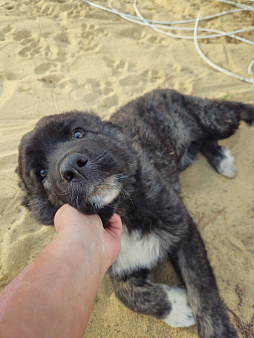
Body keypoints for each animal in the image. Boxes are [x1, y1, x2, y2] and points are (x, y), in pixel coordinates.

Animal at [16, 88, 253, 336]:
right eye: (41, 173)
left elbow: (202, 287)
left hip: (216, 121)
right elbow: (128, 295)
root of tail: (160, 90)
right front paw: (177, 307)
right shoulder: (114, 262)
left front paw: (217, 330)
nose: (73, 166)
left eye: (78, 133)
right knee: (204, 141)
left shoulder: (184, 231)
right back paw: (220, 158)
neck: (124, 208)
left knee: (234, 110)